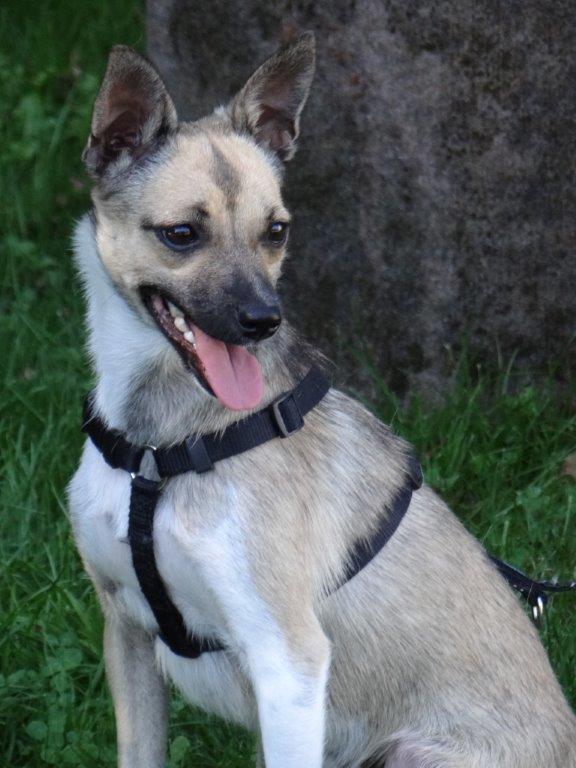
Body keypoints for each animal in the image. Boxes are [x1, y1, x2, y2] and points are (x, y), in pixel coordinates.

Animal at [68, 34, 576, 767]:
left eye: (276, 231)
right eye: (181, 235)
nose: (263, 320)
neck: (159, 448)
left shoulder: (289, 662)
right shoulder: (126, 630)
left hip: (411, 753)